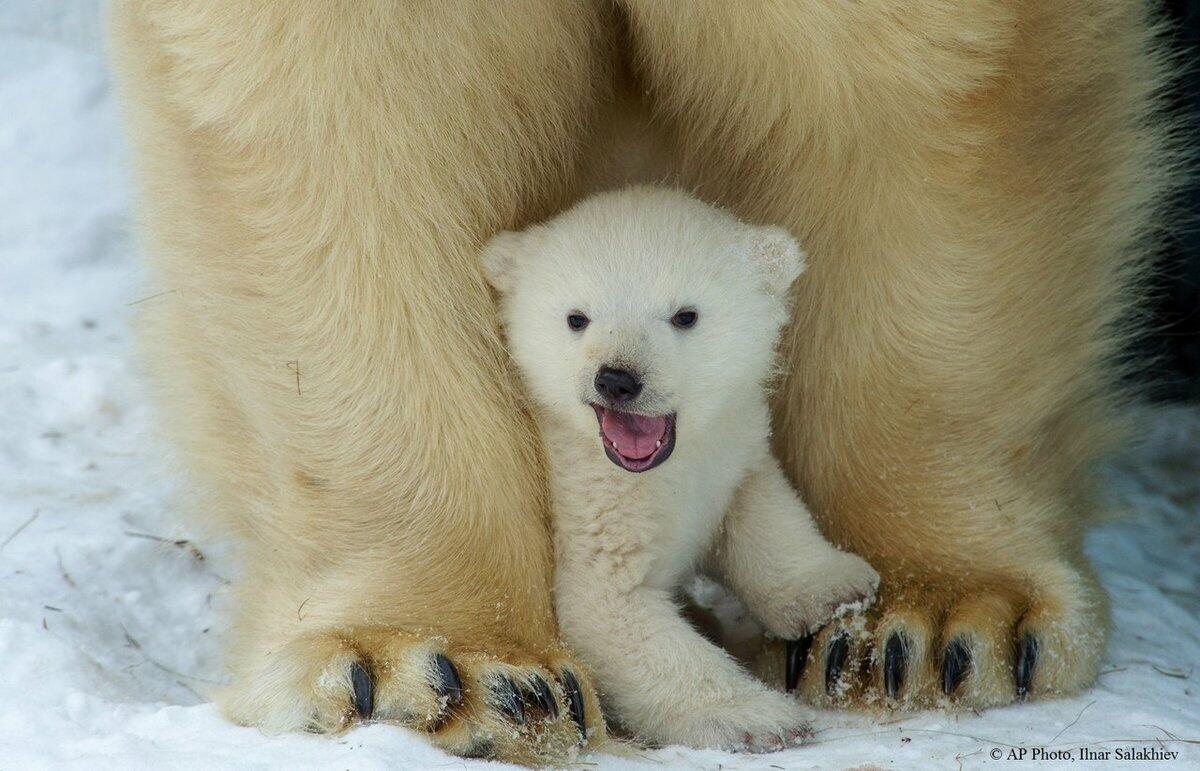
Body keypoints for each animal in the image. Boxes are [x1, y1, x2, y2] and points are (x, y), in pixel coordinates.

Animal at [110, 0, 1171, 763]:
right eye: (574, 319)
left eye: (688, 316)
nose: (619, 381)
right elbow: (331, 118)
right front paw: (443, 667)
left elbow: (927, 87)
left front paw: (930, 620)